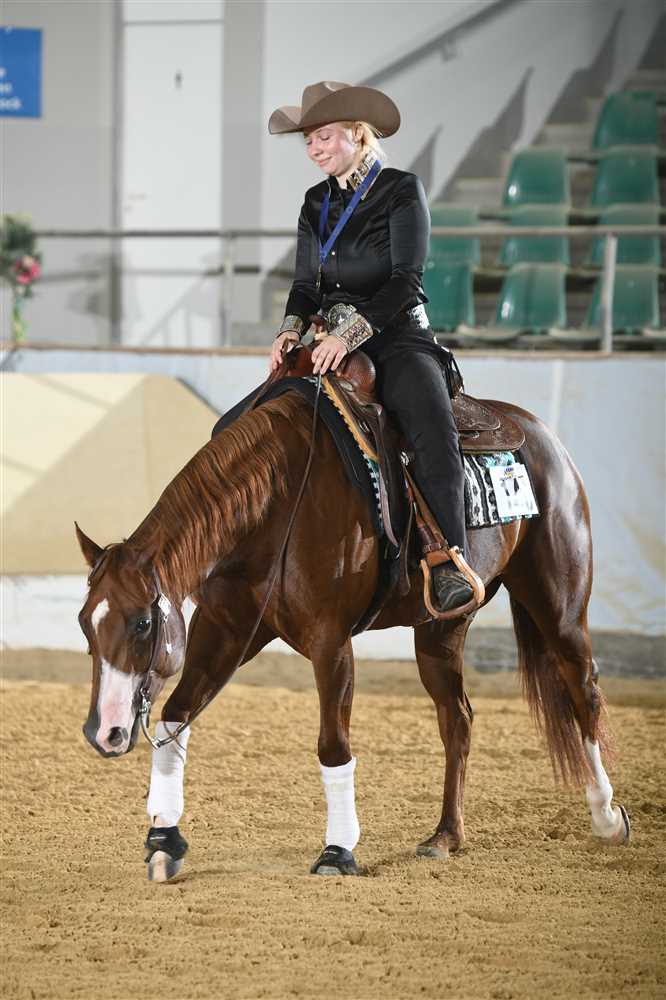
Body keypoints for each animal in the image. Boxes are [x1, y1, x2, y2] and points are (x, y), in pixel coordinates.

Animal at [76, 379, 630, 881]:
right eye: (85, 625)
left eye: (143, 622)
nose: (103, 733)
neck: (277, 501)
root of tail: (538, 433)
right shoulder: (224, 630)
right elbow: (175, 717)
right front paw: (163, 840)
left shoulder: (330, 641)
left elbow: (333, 745)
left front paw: (338, 850)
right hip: (441, 630)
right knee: (458, 719)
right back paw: (445, 835)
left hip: (559, 605)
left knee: (582, 691)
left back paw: (607, 817)